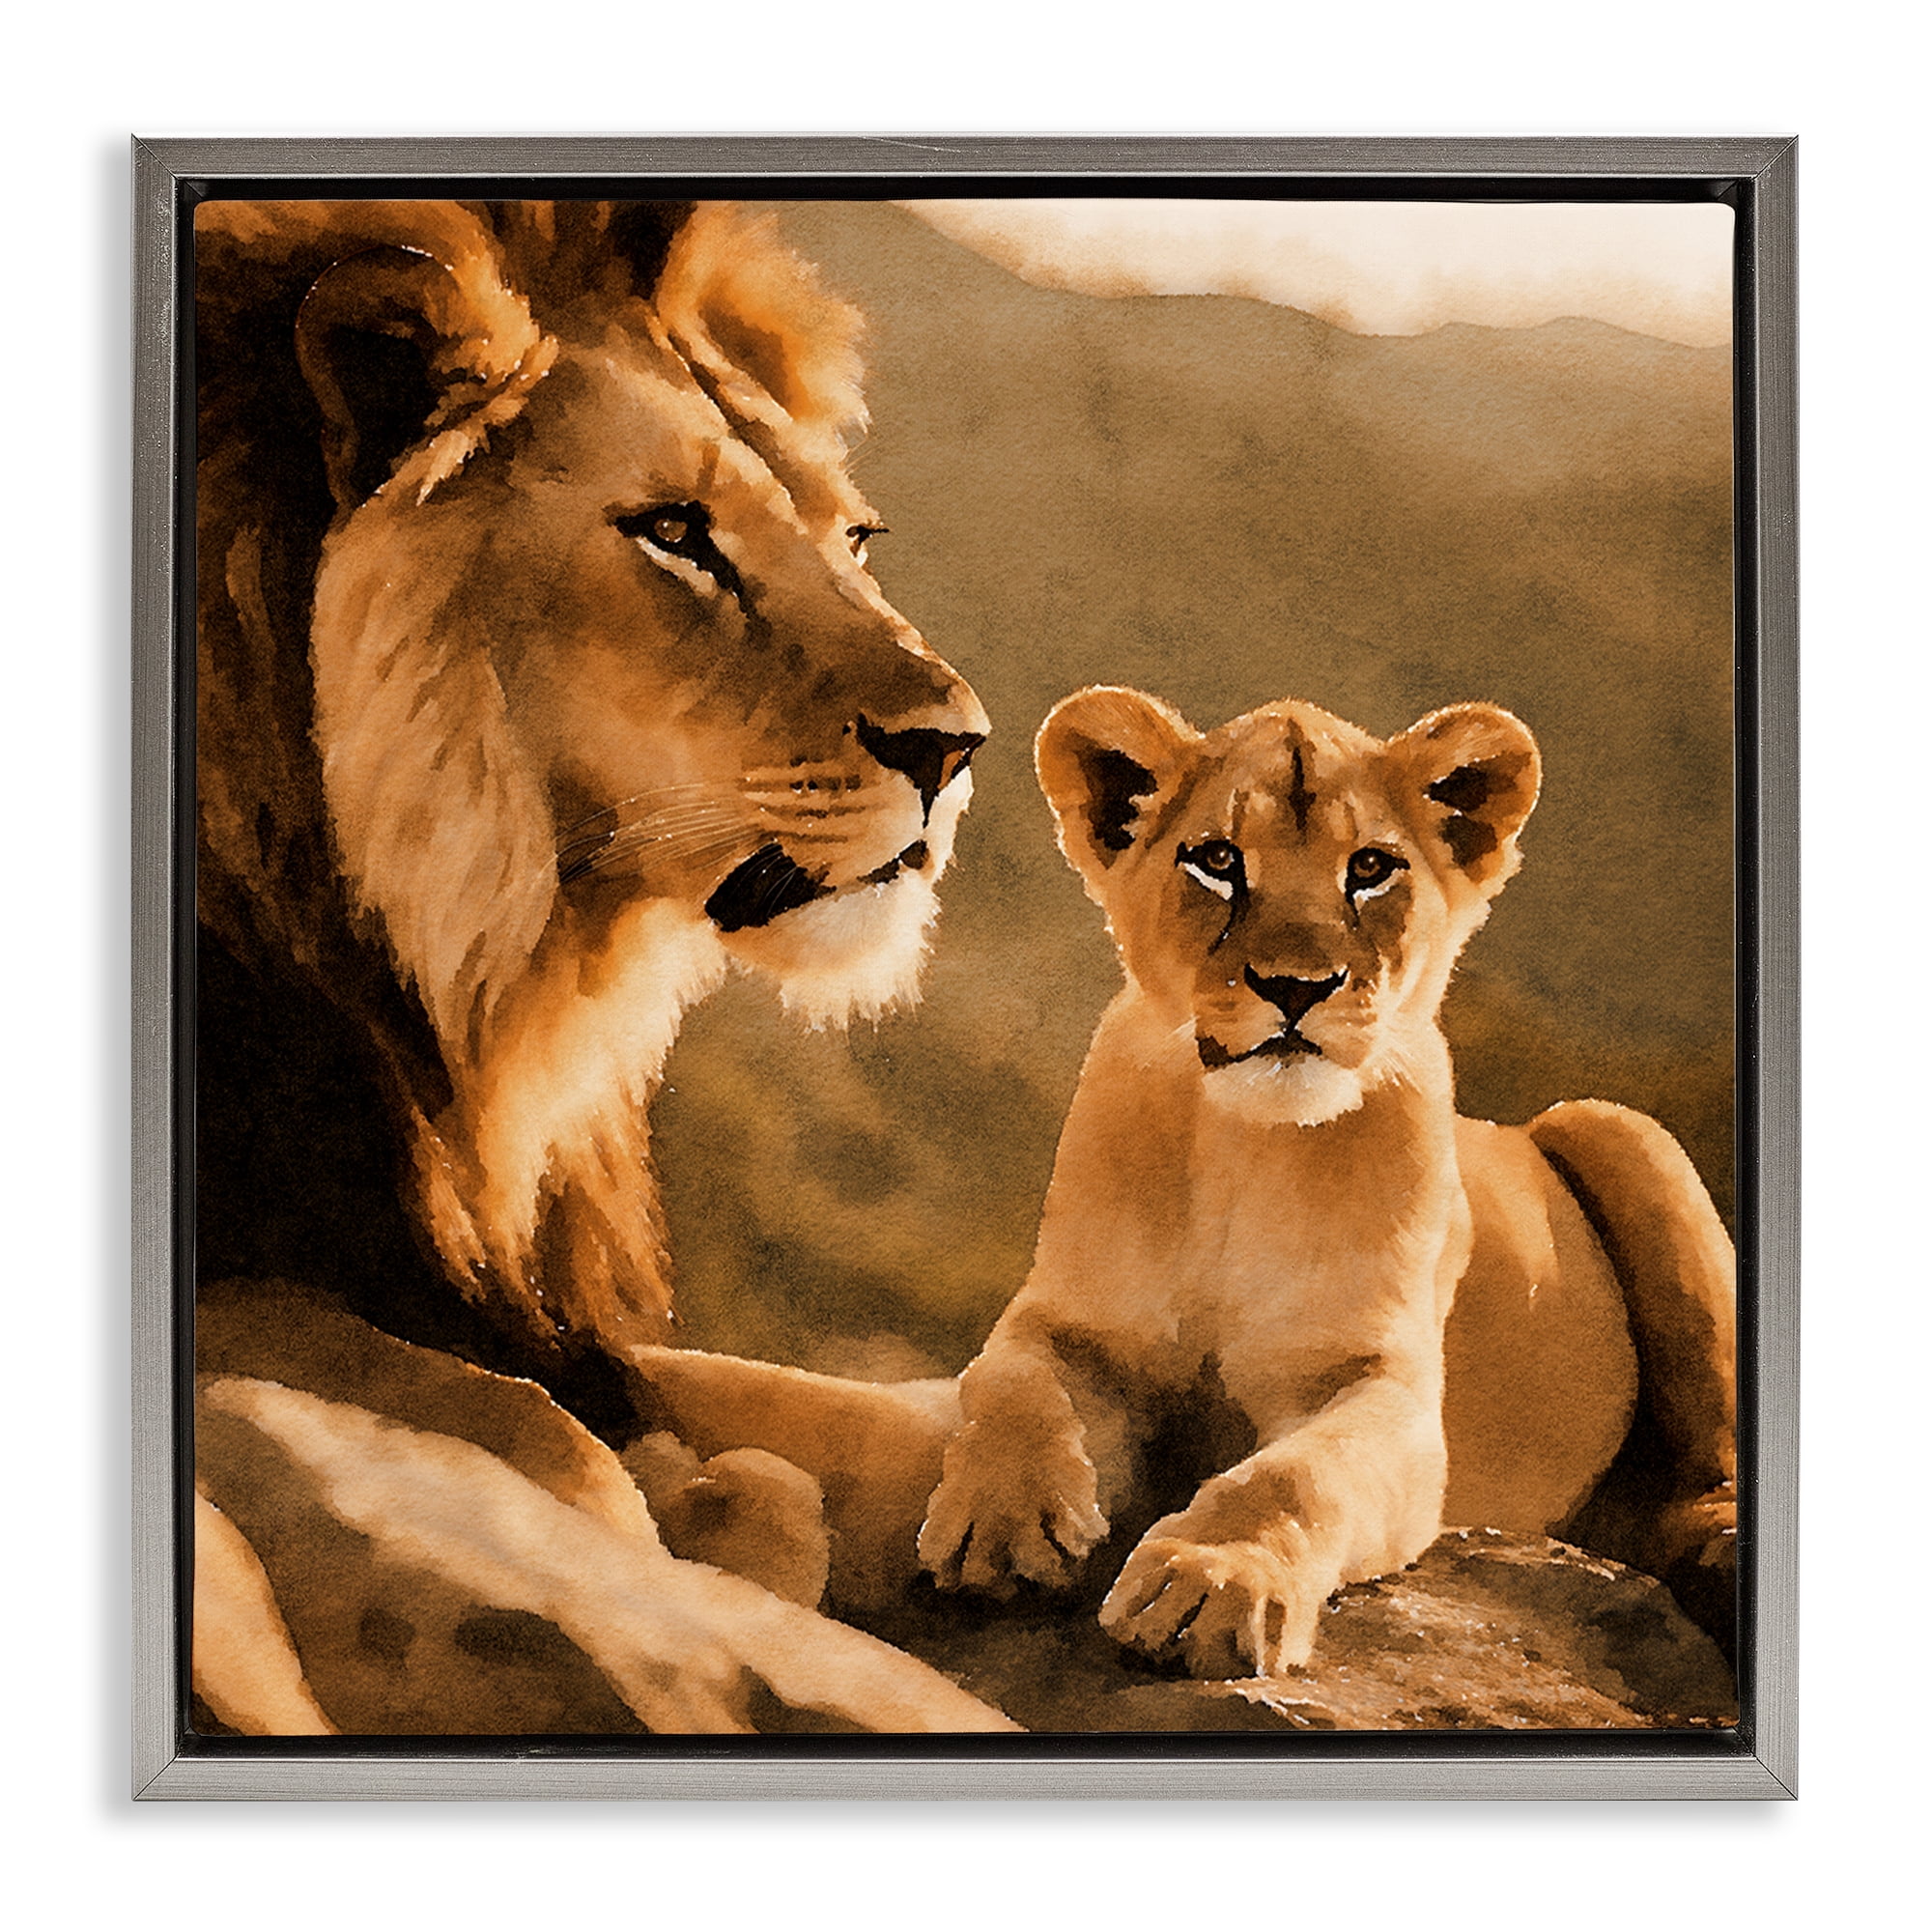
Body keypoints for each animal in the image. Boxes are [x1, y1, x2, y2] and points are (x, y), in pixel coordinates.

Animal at [191, 198, 1003, 1733]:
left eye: (855, 537)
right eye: (675, 533)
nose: (956, 747)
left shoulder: (528, 1305)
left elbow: (851, 1415)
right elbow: (554, 1447)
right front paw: (701, 1535)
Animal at [912, 686, 1736, 1679]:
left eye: (1371, 868)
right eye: (1218, 861)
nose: (1296, 985)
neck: (1247, 1150)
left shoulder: (1387, 1390)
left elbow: (1292, 1476)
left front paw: (1210, 1583)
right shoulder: (1068, 1320)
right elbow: (1012, 1387)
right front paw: (1001, 1525)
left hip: (1618, 1127)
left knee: (1713, 1463)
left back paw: (1718, 1544)